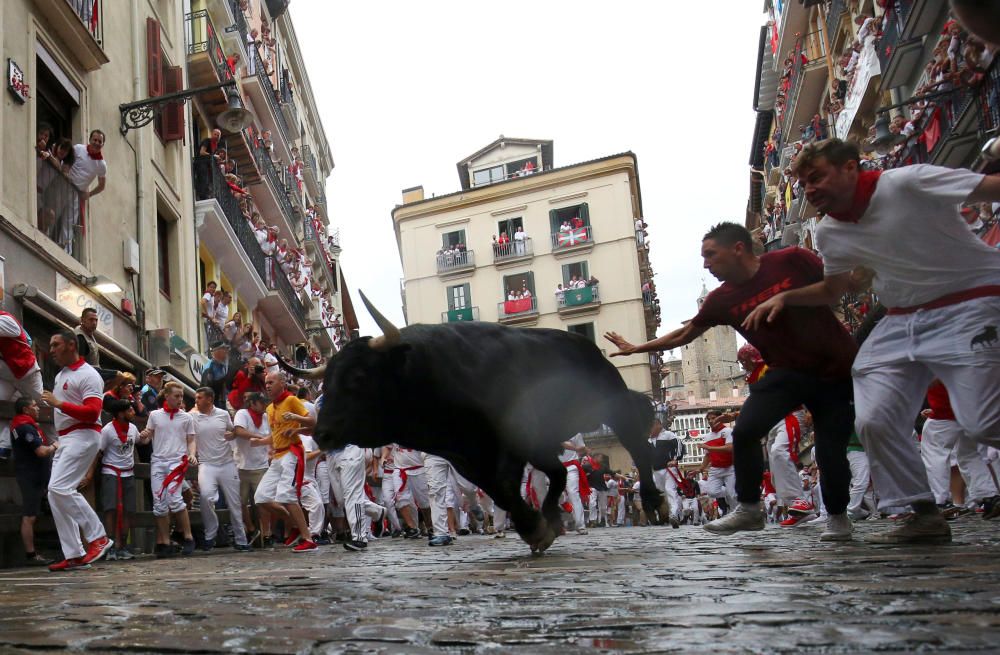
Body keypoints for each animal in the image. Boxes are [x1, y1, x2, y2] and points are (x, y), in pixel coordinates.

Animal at [280, 318, 664, 552]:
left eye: (358, 377)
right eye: (327, 381)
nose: (323, 433)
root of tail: (587, 345)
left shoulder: (507, 445)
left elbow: (512, 486)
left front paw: (536, 526)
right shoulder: (467, 457)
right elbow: (502, 490)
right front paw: (536, 525)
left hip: (612, 405)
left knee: (637, 446)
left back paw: (653, 501)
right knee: (553, 474)